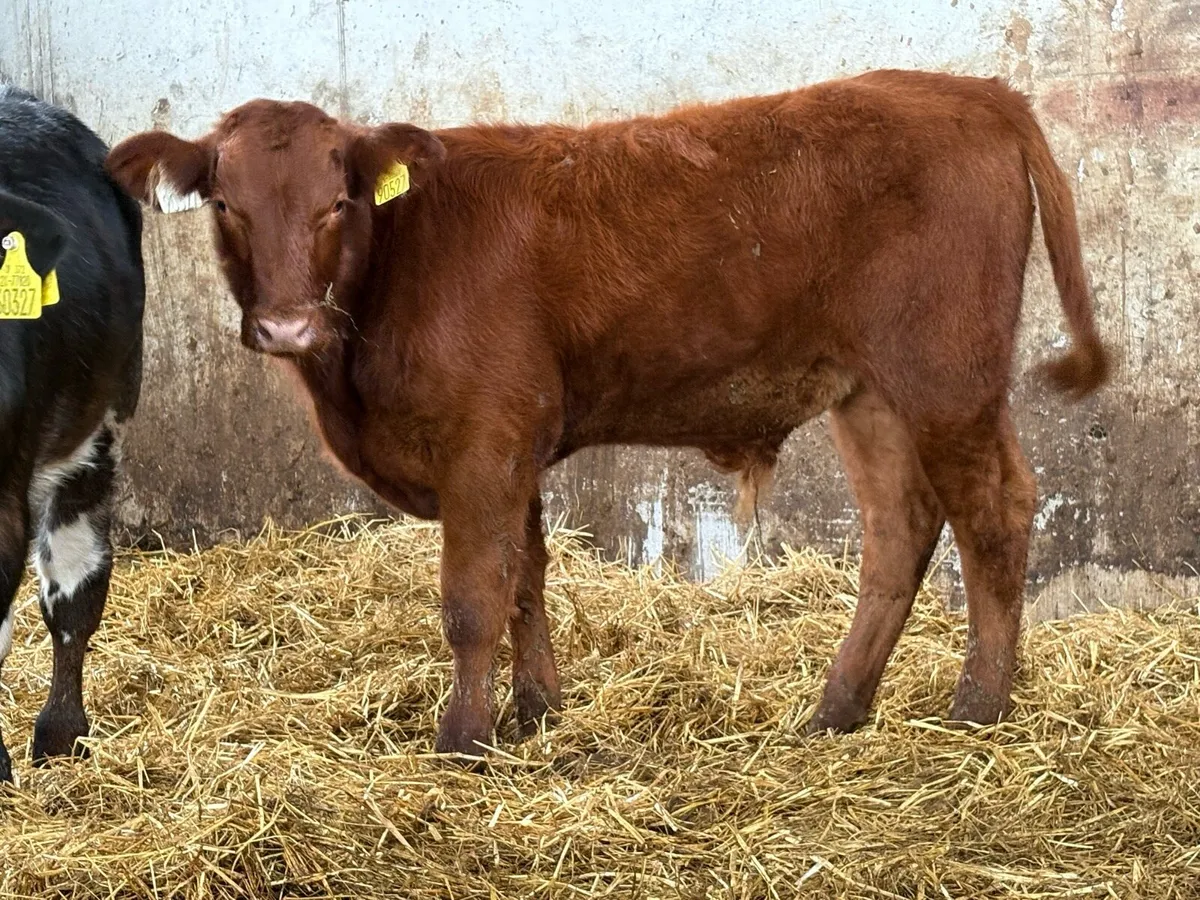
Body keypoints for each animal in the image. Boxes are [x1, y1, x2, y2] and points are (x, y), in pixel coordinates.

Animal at [107, 69, 1110, 759]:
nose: (286, 324)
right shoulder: (513, 444)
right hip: (871, 393)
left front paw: (462, 740)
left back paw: (978, 708)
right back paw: (836, 710)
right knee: (899, 528)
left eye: (337, 203)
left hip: (948, 378)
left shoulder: (484, 440)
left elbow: (472, 597)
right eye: (227, 204)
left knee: (995, 513)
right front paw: (535, 712)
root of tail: (976, 92)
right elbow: (526, 579)